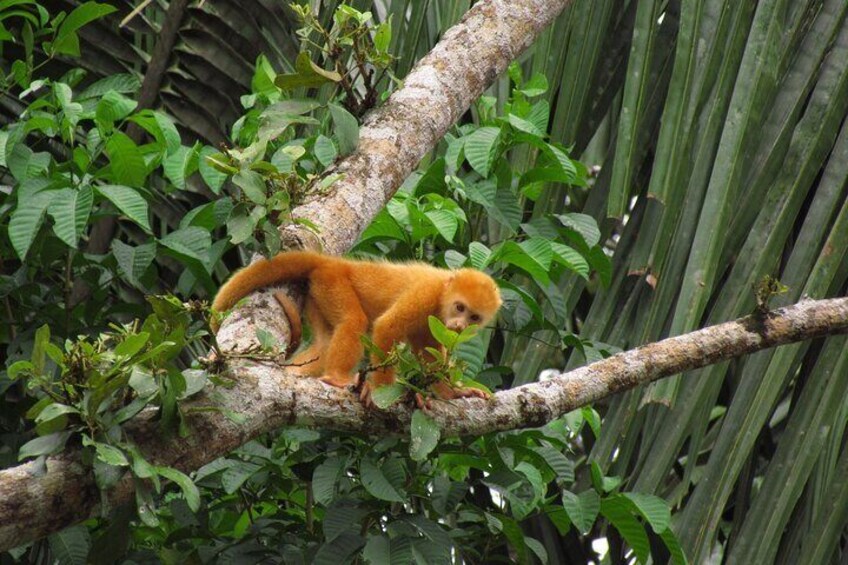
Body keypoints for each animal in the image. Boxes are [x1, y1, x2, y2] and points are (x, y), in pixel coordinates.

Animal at [212, 251, 500, 406]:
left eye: (474, 317)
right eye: (459, 307)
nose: (459, 326)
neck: (443, 292)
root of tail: (334, 262)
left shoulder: (434, 325)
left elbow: (428, 355)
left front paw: (453, 393)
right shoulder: (425, 293)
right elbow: (387, 327)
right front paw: (382, 393)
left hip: (318, 291)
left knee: (325, 343)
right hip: (332, 282)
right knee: (353, 321)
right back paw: (338, 377)